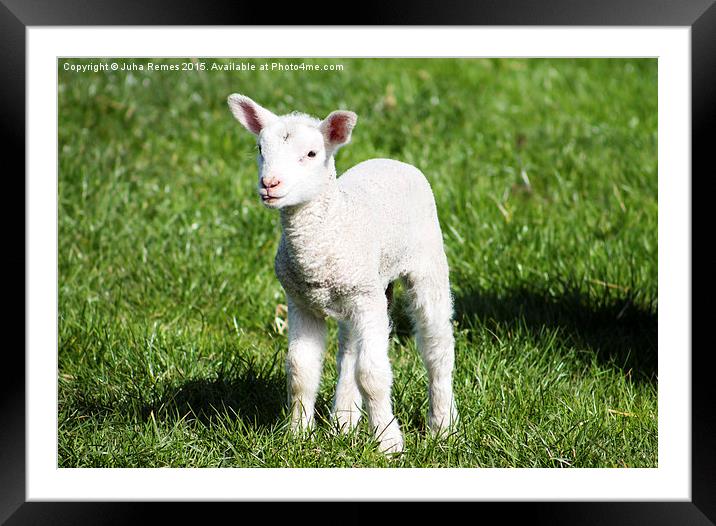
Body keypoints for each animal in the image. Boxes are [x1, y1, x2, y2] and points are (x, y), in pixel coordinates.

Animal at [227, 94, 456, 454]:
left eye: (311, 154)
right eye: (260, 148)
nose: (269, 184)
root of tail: (391, 160)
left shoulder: (367, 300)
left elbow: (372, 374)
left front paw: (389, 442)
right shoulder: (301, 301)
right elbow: (300, 371)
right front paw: (298, 436)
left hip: (425, 261)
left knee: (437, 344)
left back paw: (443, 426)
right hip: (359, 290)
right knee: (349, 350)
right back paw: (344, 421)